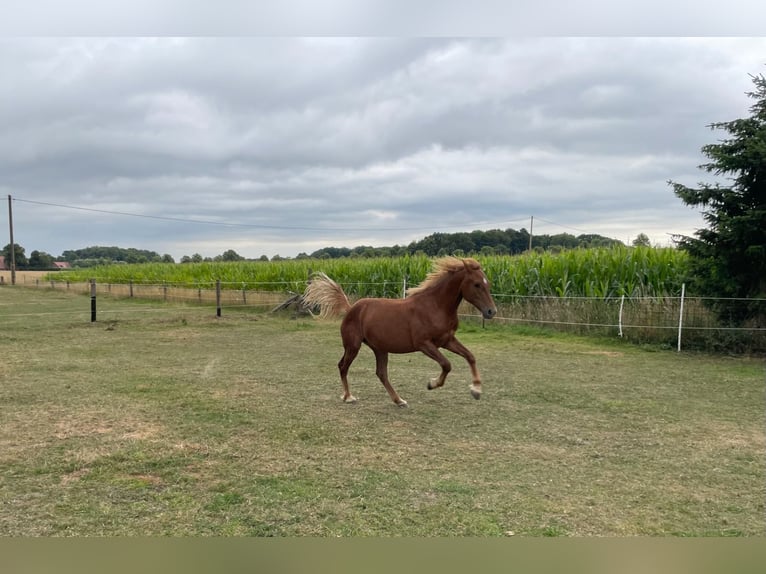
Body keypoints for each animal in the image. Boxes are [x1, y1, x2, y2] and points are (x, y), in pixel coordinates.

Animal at [304, 256, 500, 410]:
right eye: (476, 284)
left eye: (488, 284)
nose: (491, 311)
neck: (435, 306)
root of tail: (351, 308)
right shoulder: (424, 344)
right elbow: (447, 364)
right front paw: (432, 384)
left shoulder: (447, 340)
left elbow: (470, 356)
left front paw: (476, 390)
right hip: (353, 346)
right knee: (343, 366)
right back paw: (348, 397)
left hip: (380, 348)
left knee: (381, 373)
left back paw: (399, 400)